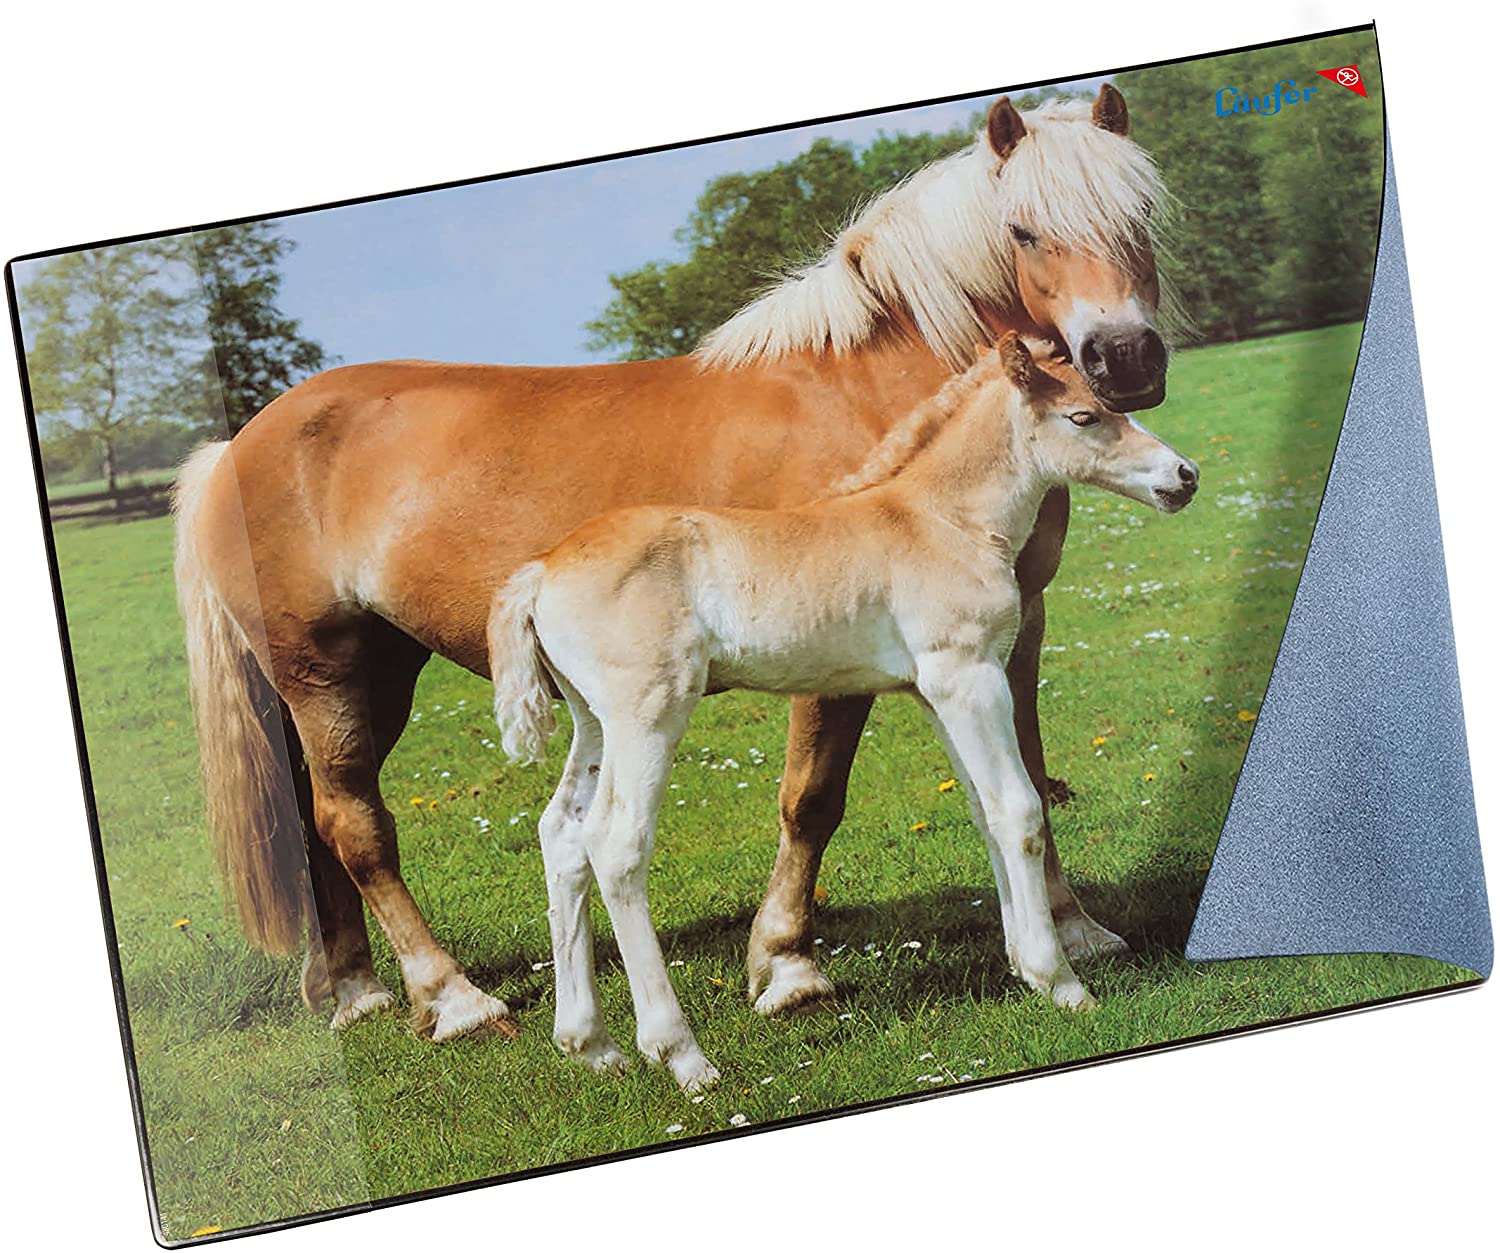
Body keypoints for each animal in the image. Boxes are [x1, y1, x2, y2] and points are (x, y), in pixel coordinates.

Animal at [488, 334, 1198, 1089]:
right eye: (1083, 416)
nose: (1184, 476)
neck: (940, 521)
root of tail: (541, 569)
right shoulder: (968, 674)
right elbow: (1018, 810)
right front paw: (1058, 980)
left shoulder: (934, 690)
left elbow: (982, 811)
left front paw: (1023, 965)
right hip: (647, 714)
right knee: (616, 845)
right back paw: (681, 1054)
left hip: (592, 721)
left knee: (562, 834)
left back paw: (590, 1043)